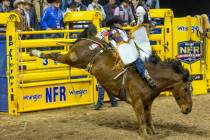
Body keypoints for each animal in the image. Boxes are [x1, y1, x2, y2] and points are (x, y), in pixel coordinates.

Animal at [30, 24, 193, 139]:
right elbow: (141, 120)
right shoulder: (138, 102)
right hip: (74, 58)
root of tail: (92, 40)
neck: (151, 78)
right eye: (186, 89)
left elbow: (149, 119)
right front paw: (144, 135)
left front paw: (153, 132)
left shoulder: (148, 104)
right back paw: (35, 52)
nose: (188, 109)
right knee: (56, 55)